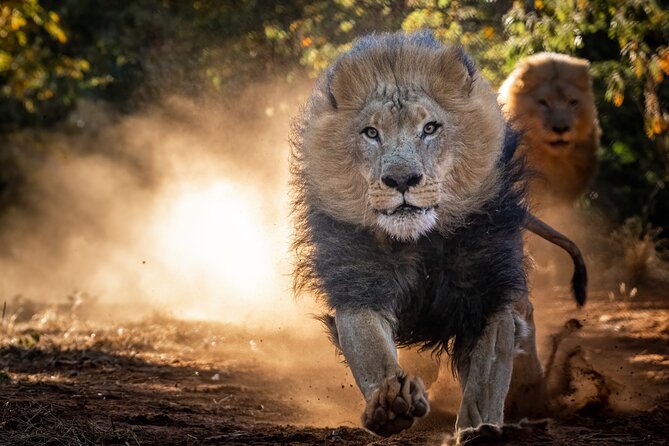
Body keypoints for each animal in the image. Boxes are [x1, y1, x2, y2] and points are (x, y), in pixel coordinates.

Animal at [290, 32, 588, 442]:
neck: (420, 242)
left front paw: (479, 430)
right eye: (371, 133)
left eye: (430, 128)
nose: (401, 179)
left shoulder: (487, 296)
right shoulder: (360, 288)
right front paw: (390, 403)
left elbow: (485, 377)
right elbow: (372, 352)